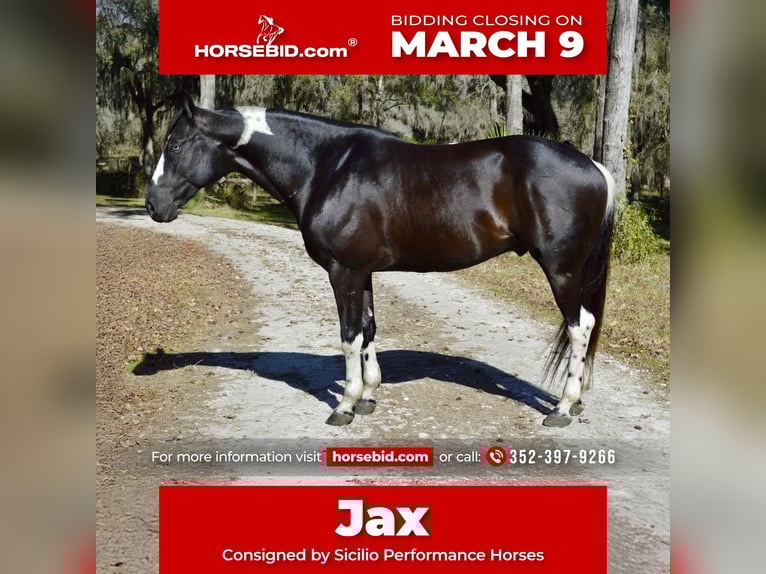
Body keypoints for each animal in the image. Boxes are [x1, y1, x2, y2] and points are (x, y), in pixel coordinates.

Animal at [145, 98, 616, 428]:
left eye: (176, 144)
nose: (152, 205)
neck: (327, 166)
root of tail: (594, 167)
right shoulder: (363, 272)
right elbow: (368, 329)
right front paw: (369, 396)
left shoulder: (343, 272)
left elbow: (349, 336)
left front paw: (345, 404)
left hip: (561, 270)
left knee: (581, 327)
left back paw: (562, 407)